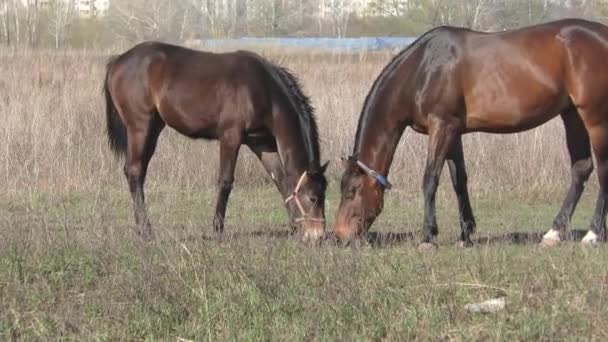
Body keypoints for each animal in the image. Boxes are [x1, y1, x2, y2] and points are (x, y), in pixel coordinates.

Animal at [106, 41, 330, 240]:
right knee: (134, 171)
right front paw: (217, 229)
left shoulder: (262, 144)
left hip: (153, 128)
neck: (262, 90)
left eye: (325, 195)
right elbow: (225, 182)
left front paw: (294, 226)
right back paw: (145, 231)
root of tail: (118, 60)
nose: (317, 235)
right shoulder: (231, 137)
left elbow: (281, 180)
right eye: (312, 197)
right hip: (140, 126)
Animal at [334, 18, 608, 248]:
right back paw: (554, 233)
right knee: (581, 168)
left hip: (595, 118)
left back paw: (593, 234)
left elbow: (430, 179)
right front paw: (465, 234)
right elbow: (459, 180)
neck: (422, 68)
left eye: (352, 191)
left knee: (602, 169)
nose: (339, 237)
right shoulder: (453, 131)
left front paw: (428, 236)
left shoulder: (441, 126)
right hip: (572, 114)